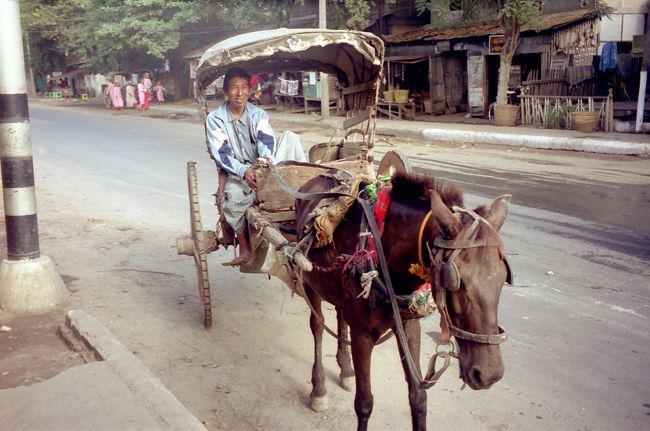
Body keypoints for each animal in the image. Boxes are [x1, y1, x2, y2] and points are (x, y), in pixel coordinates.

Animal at [295, 170, 512, 431]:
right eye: (457, 282)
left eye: (503, 279)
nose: (489, 374)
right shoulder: (362, 335)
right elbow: (364, 403)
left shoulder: (409, 325)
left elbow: (418, 397)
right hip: (309, 282)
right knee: (317, 327)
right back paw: (319, 389)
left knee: (340, 316)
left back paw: (345, 369)